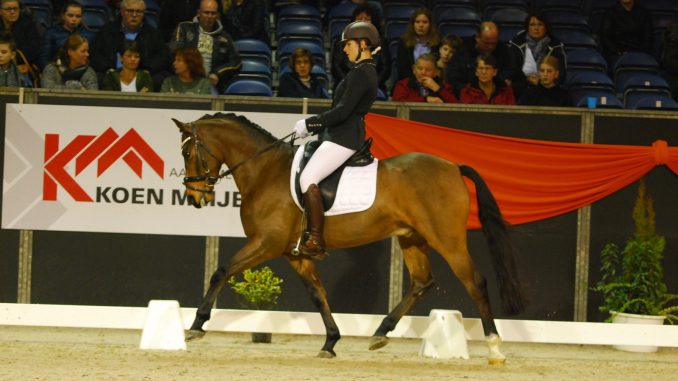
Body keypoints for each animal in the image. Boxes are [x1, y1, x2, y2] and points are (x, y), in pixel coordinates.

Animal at [174, 112, 524, 362]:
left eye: (189, 152)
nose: (194, 197)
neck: (265, 171)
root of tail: (453, 166)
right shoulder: (294, 254)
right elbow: (318, 294)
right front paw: (330, 341)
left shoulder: (266, 244)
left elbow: (221, 271)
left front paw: (195, 326)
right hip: (412, 238)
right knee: (422, 282)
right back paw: (381, 332)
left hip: (446, 239)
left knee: (474, 281)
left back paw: (494, 347)